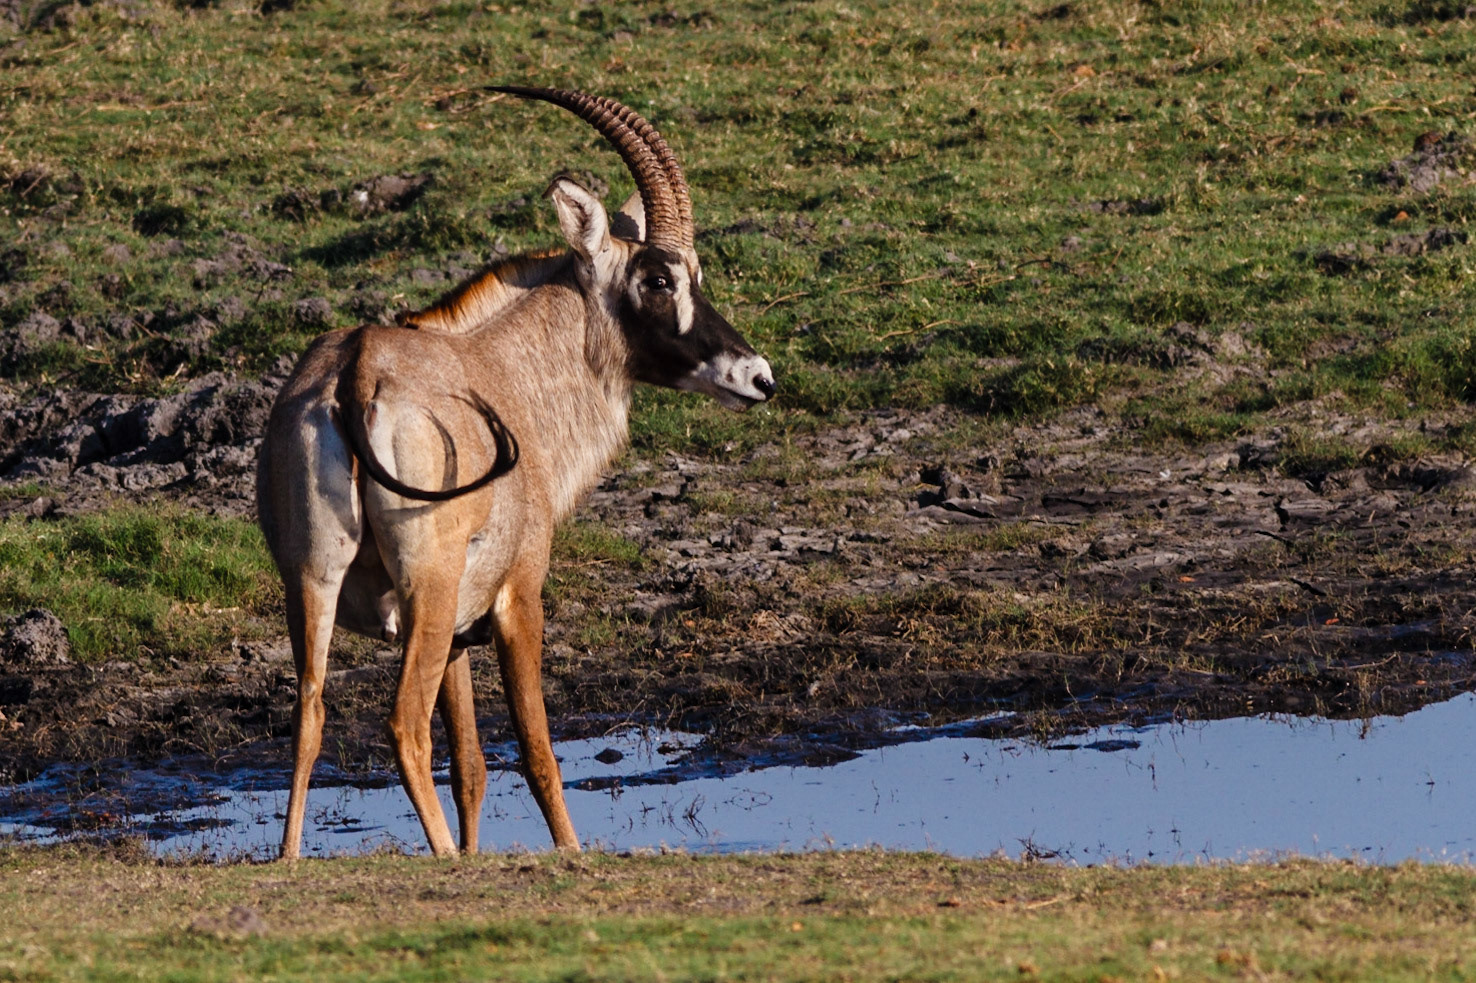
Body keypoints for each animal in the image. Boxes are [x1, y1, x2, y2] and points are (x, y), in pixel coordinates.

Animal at [257, 87, 775, 858]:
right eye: (658, 278)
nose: (759, 377)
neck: (501, 367)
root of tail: (356, 373)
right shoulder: (517, 597)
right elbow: (536, 752)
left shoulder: (454, 635)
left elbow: (471, 763)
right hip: (427, 586)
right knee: (402, 724)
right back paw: (440, 858)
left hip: (316, 584)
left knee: (311, 713)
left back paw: (292, 861)